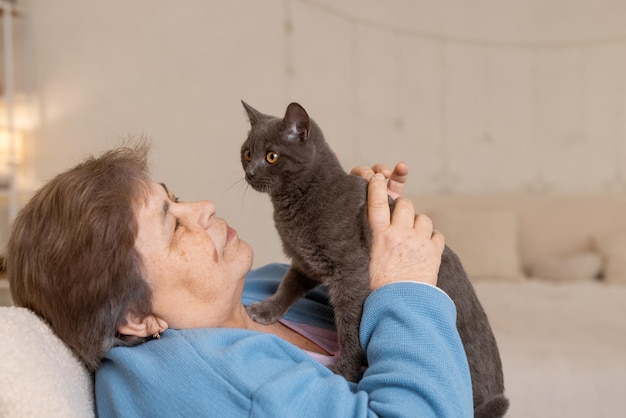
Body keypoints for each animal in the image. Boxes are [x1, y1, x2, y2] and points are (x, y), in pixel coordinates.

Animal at [239, 101, 508, 418]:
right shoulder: (306, 262)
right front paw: (266, 310)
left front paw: (343, 371)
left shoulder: (350, 273)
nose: (250, 172)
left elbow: (349, 328)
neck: (296, 201)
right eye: (247, 153)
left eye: (272, 156)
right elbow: (288, 286)